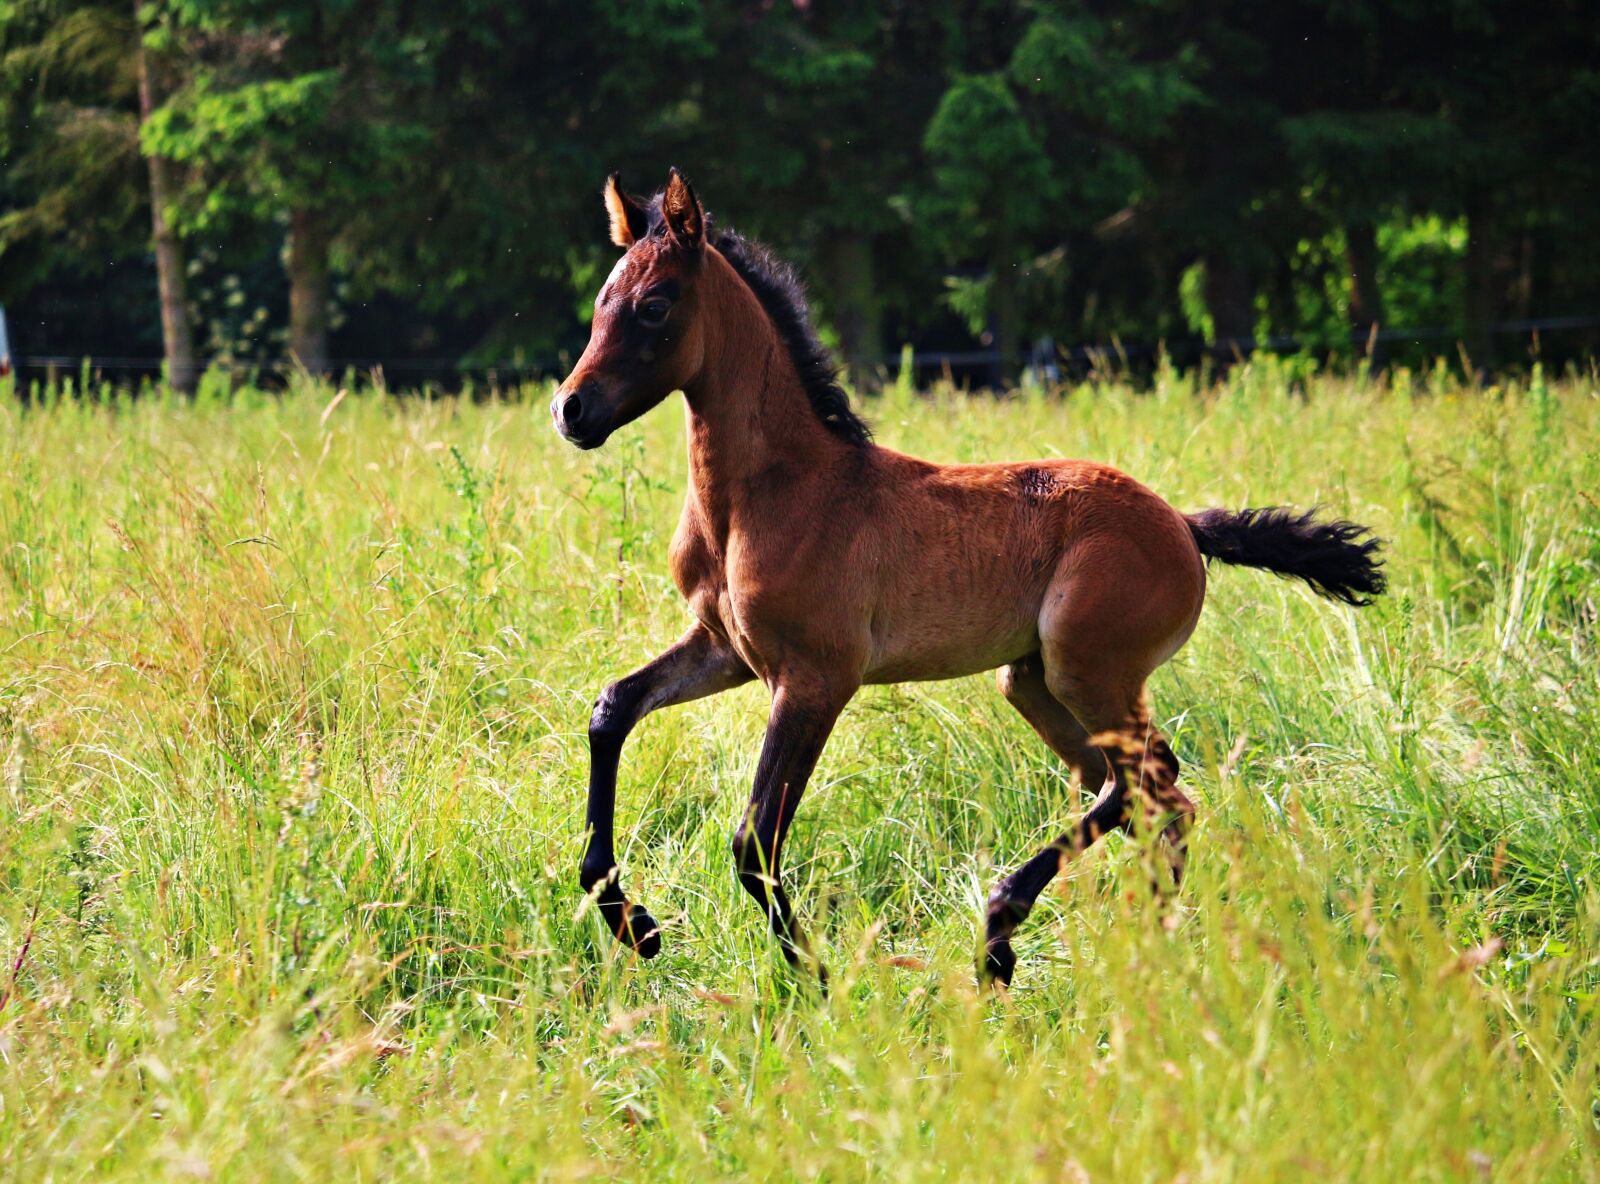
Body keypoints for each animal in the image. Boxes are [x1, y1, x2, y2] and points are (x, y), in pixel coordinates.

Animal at [553, 168, 1385, 987]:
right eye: (598, 305)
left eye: (655, 306)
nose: (571, 410)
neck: (774, 492)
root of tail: (1183, 524)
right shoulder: (725, 648)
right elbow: (612, 708)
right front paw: (632, 923)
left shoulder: (816, 678)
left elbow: (754, 837)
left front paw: (815, 980)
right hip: (1036, 684)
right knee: (1157, 801)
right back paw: (1143, 949)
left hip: (1090, 671)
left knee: (1150, 781)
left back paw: (1001, 932)